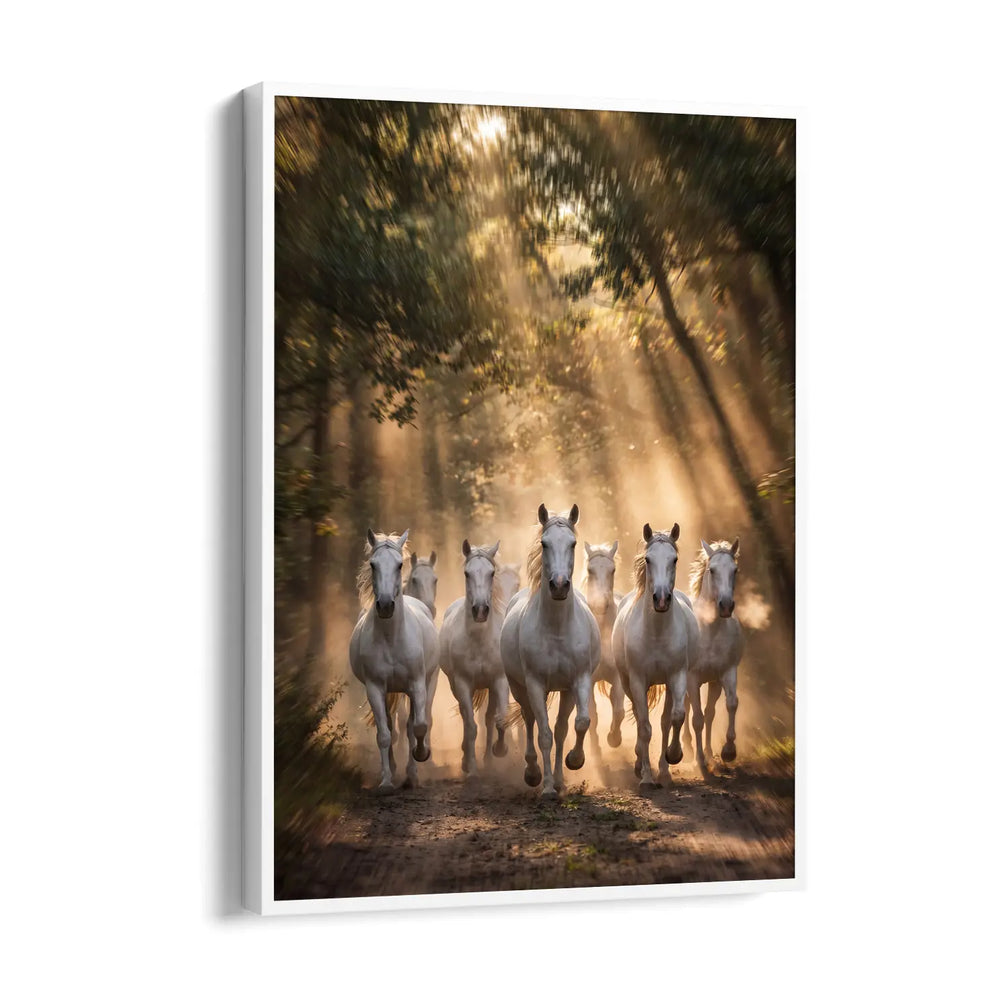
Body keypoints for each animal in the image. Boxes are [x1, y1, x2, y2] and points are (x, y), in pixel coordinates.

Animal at [349, 529, 440, 794]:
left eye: (399, 565)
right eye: (373, 564)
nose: (386, 605)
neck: (391, 637)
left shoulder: (417, 685)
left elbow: (418, 726)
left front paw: (421, 756)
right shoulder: (375, 688)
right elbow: (384, 734)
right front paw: (387, 781)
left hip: (428, 682)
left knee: (415, 723)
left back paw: (413, 770)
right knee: (390, 725)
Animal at [439, 540, 510, 776]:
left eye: (492, 573)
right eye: (467, 573)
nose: (480, 610)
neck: (479, 640)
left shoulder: (499, 680)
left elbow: (500, 720)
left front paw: (499, 750)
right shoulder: (462, 683)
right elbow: (470, 725)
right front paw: (470, 765)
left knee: (488, 719)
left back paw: (488, 759)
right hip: (455, 685)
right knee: (465, 717)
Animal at [499, 504, 600, 801]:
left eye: (573, 543)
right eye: (544, 544)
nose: (558, 585)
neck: (556, 628)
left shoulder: (578, 680)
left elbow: (578, 724)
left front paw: (573, 763)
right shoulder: (534, 684)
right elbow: (543, 734)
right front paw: (545, 788)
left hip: (563, 691)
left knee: (560, 728)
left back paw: (560, 780)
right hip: (521, 687)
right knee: (530, 721)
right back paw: (533, 773)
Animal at [611, 522, 699, 791]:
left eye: (674, 559)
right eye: (648, 559)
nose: (660, 599)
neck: (657, 633)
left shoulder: (677, 676)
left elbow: (675, 718)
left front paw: (673, 757)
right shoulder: (638, 680)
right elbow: (644, 727)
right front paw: (646, 777)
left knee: (665, 720)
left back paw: (664, 771)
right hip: (628, 683)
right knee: (641, 719)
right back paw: (640, 764)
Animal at [679, 539, 745, 776]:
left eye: (735, 570)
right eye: (712, 570)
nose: (725, 606)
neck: (711, 629)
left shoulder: (725, 674)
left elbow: (729, 705)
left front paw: (727, 751)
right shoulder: (692, 678)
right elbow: (697, 718)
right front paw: (699, 761)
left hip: (713, 683)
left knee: (709, 712)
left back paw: (708, 753)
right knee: (688, 708)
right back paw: (688, 749)